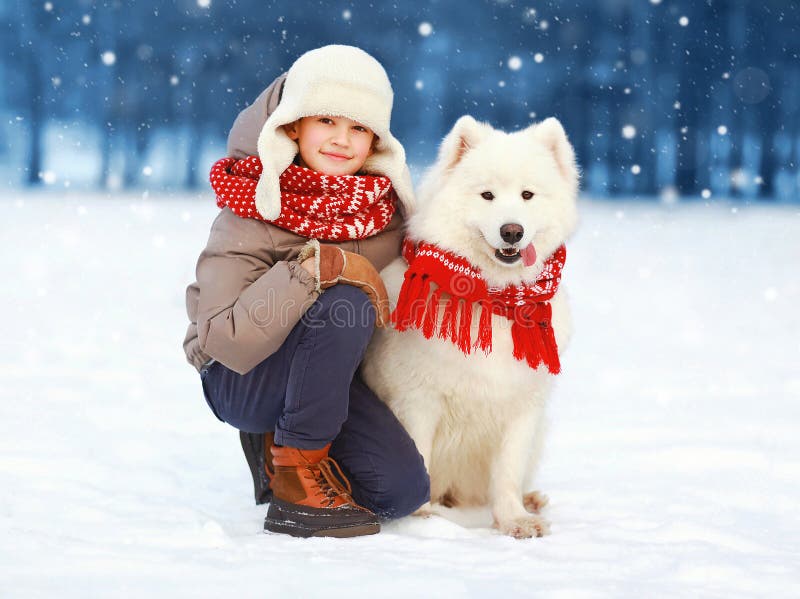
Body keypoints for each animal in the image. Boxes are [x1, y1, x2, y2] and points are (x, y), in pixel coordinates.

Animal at [360, 115, 580, 536]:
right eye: (487, 195)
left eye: (527, 195)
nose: (512, 231)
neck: (493, 297)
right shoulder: (418, 400)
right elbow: (420, 460)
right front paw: (422, 519)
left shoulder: (521, 408)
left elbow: (508, 473)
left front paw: (514, 520)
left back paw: (531, 500)